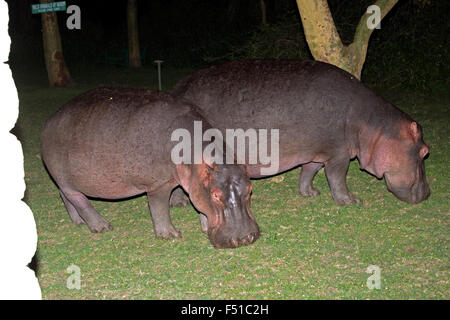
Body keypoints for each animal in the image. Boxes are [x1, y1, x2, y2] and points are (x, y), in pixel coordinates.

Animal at [43, 88, 260, 250]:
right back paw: (103, 227)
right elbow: (159, 208)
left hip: (65, 181)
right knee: (80, 201)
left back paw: (78, 222)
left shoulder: (194, 182)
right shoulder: (158, 184)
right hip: (66, 180)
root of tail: (50, 120)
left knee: (64, 196)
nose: (244, 238)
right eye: (215, 195)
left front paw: (203, 226)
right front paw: (171, 235)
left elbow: (199, 206)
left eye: (250, 190)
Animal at [171, 60, 430, 205]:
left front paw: (310, 193)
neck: (373, 125)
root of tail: (177, 88)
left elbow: (309, 171)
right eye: (425, 151)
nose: (428, 193)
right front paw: (351, 201)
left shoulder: (317, 152)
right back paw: (179, 204)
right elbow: (337, 177)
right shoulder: (338, 154)